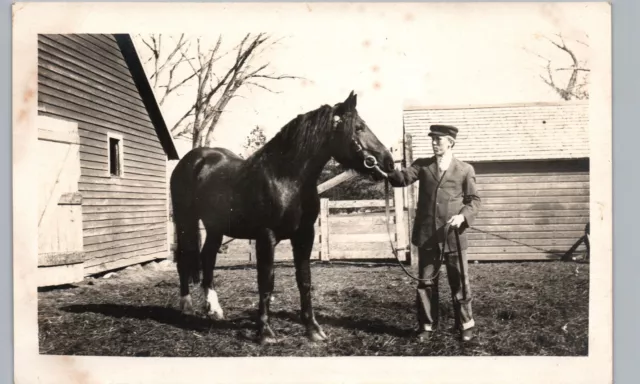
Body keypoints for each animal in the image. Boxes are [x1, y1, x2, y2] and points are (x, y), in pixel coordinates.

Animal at [169, 91, 396, 344]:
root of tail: (194, 159)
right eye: (359, 128)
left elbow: (304, 280)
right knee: (184, 259)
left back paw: (214, 310)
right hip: (185, 221)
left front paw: (313, 329)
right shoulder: (266, 237)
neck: (286, 179)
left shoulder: (305, 235)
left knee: (207, 258)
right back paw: (186, 307)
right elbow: (267, 281)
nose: (388, 162)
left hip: (215, 228)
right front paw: (265, 332)